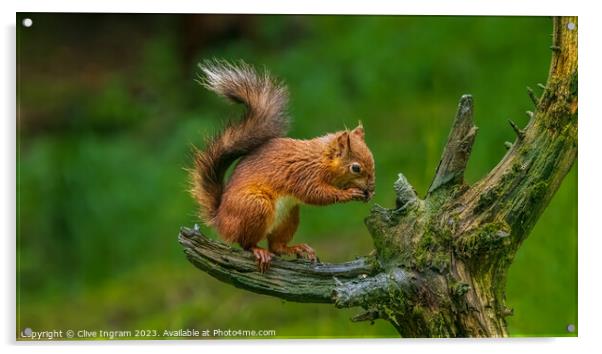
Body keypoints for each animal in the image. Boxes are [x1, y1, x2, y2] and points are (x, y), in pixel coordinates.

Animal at [190, 60, 372, 272]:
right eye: (356, 168)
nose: (371, 187)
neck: (320, 160)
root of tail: (220, 220)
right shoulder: (304, 174)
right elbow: (316, 194)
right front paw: (349, 193)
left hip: (288, 216)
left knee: (276, 246)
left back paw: (297, 248)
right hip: (256, 206)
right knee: (245, 243)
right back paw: (258, 250)